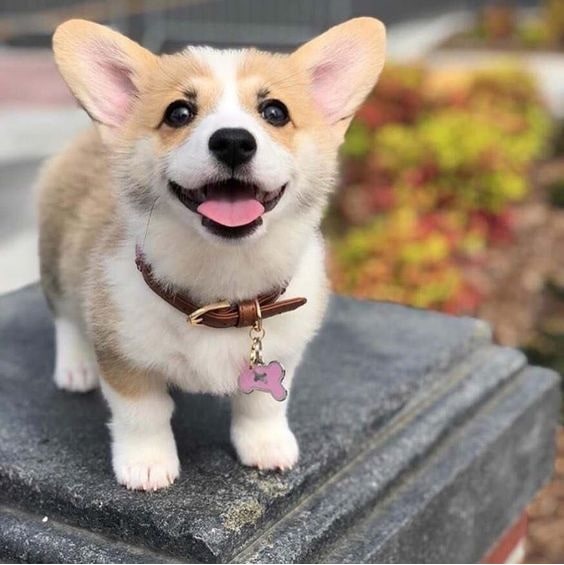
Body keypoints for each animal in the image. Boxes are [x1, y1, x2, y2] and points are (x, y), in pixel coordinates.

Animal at [37, 17, 386, 490]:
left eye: (275, 112)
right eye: (178, 113)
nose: (234, 142)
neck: (221, 288)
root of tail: (85, 137)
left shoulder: (283, 352)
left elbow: (263, 405)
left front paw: (267, 445)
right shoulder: (124, 355)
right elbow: (142, 414)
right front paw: (147, 464)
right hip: (57, 259)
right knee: (66, 317)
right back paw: (76, 367)